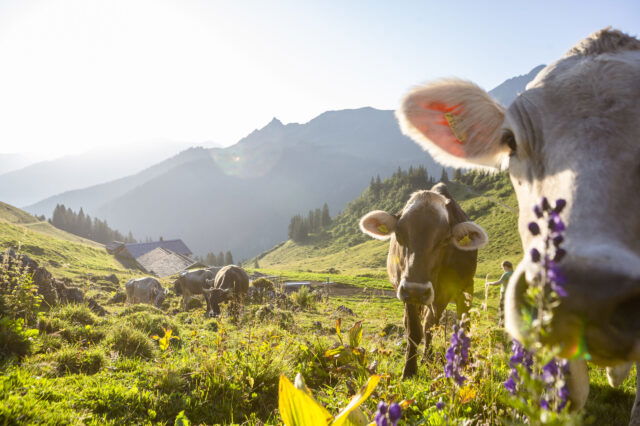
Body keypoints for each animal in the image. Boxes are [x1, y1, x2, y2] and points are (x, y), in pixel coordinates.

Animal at [359, 183, 488, 378]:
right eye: (399, 233)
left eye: (445, 239)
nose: (417, 290)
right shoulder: (408, 292)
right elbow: (414, 330)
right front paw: (409, 370)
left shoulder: (466, 287)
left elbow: (462, 326)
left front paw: (466, 364)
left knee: (430, 323)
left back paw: (427, 357)